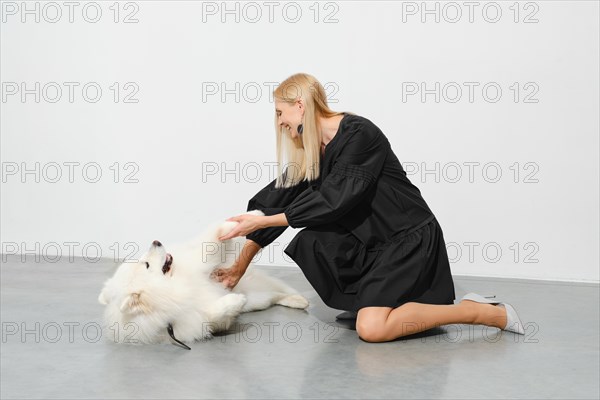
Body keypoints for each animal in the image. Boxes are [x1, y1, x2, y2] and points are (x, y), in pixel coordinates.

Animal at [97, 211, 310, 348]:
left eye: (143, 261)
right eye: (147, 265)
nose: (156, 241)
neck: (175, 284)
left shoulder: (200, 263)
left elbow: (213, 240)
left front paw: (252, 215)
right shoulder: (196, 321)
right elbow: (214, 313)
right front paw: (235, 300)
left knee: (277, 293)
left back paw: (299, 299)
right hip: (257, 300)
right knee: (273, 296)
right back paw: (298, 301)